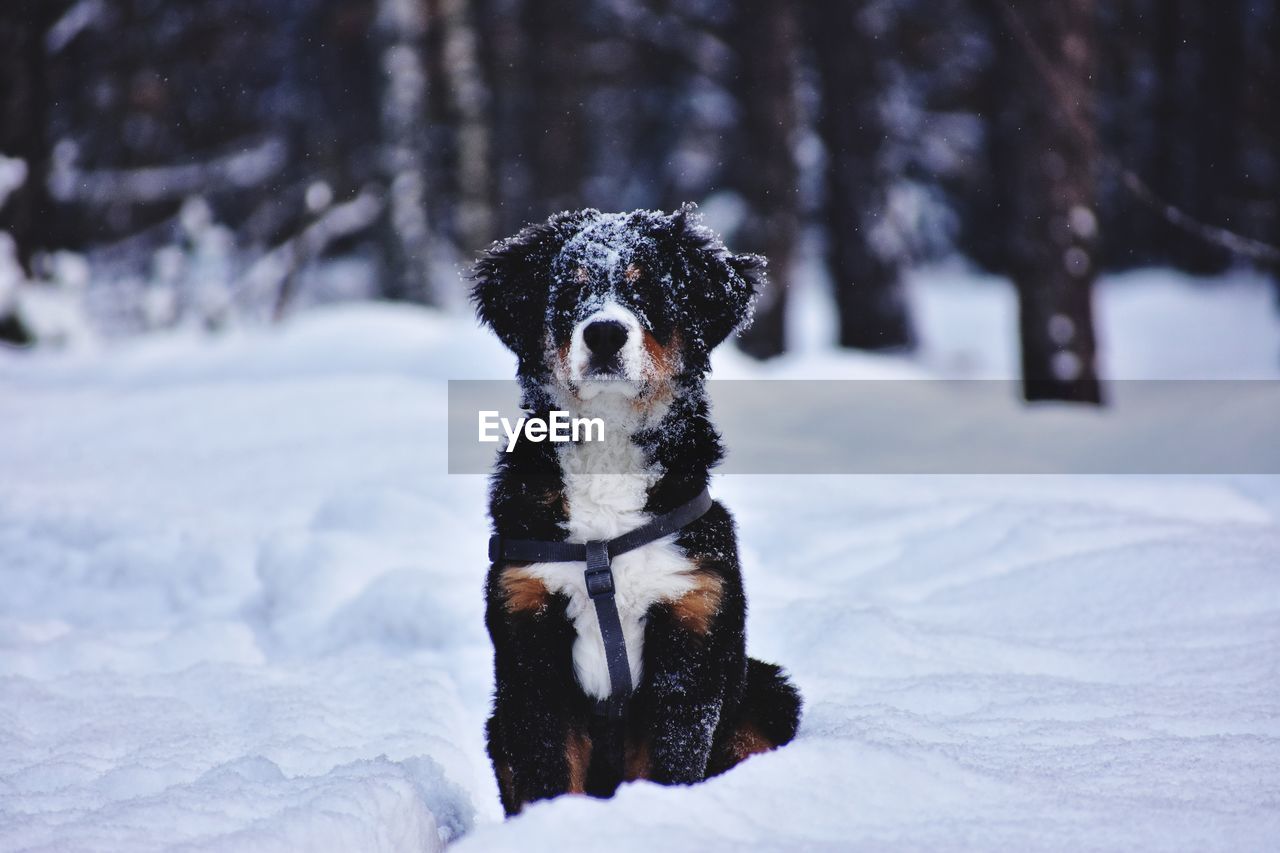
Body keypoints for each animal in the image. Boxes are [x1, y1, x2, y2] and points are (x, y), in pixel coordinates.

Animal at [476, 204, 803, 809]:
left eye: (648, 289)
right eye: (570, 291)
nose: (604, 333)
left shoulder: (691, 627)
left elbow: (668, 764)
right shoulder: (529, 635)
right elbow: (548, 770)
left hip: (766, 691)